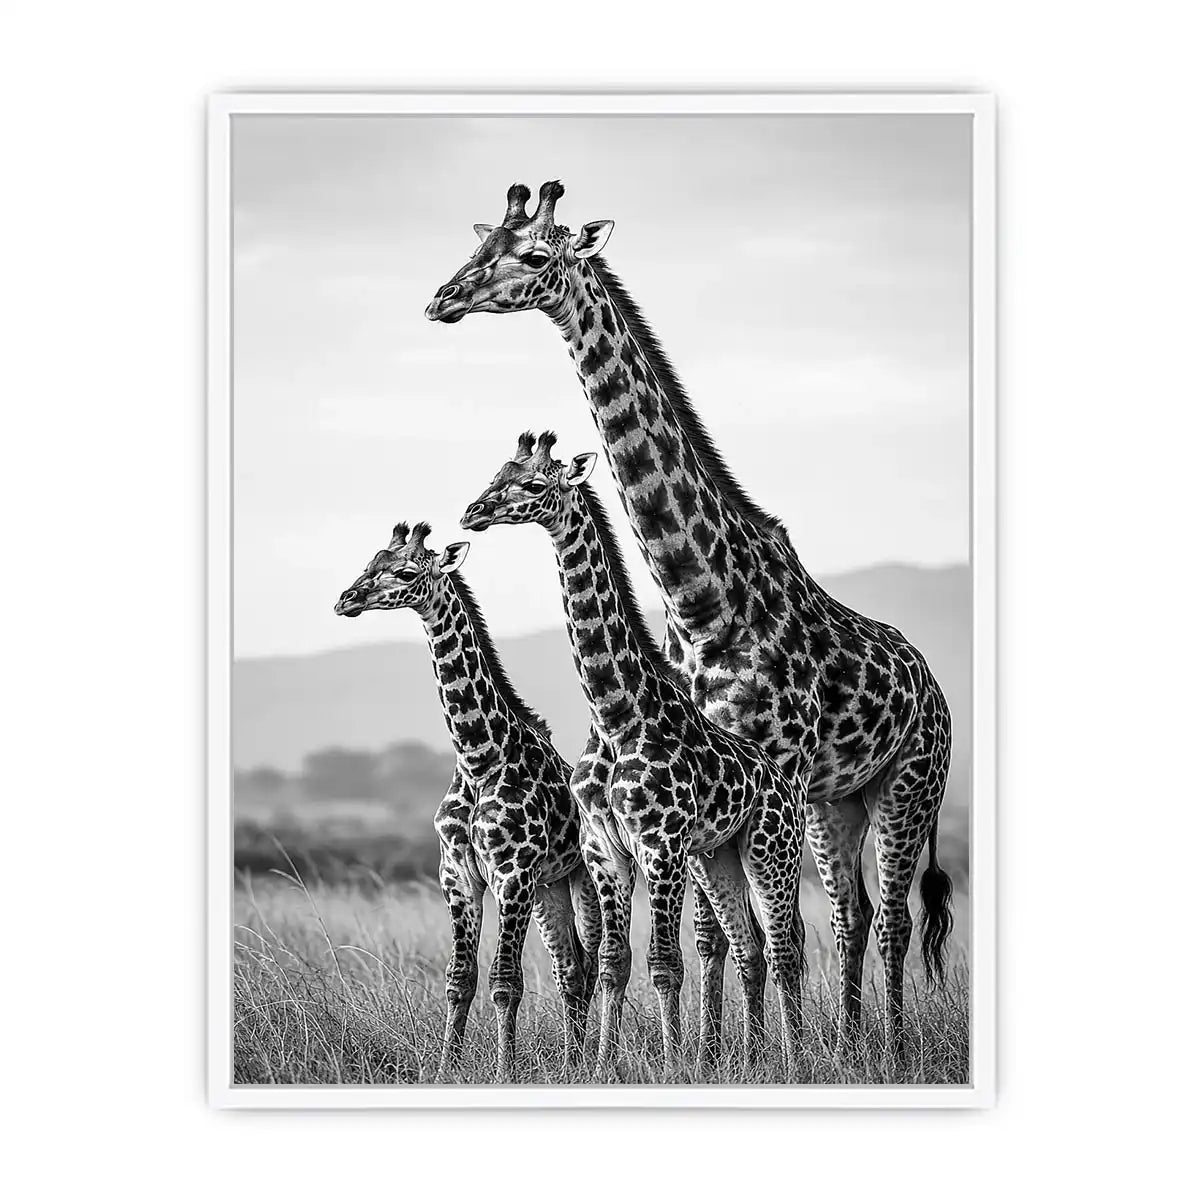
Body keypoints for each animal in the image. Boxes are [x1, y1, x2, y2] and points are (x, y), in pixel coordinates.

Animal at [334, 520, 600, 1081]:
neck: (480, 758)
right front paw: (444, 1067)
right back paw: (572, 1060)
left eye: (406, 573)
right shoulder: (457, 874)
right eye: (370, 562)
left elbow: (505, 982)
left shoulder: (512, 873)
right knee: (570, 968)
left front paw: (504, 1070)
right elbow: (460, 979)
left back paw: (581, 1061)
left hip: (581, 878)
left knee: (587, 963)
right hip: (549, 889)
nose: (347, 600)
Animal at [461, 431, 808, 1077]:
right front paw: (600, 1064)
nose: (473, 512)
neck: (616, 714)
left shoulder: (660, 844)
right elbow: (612, 963)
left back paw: (800, 1060)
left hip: (771, 850)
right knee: (750, 945)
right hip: (718, 856)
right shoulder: (605, 849)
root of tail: (787, 780)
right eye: (497, 474)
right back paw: (754, 1059)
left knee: (784, 946)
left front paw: (673, 1064)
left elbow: (664, 964)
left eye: (535, 484)